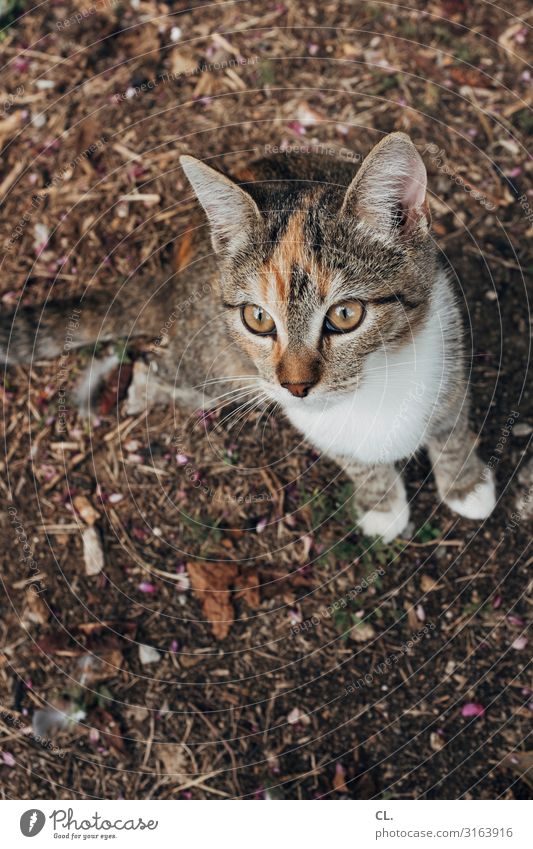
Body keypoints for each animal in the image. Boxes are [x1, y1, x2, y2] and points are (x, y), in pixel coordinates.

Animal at [0, 134, 494, 544]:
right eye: (257, 318)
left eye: (346, 314)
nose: (295, 386)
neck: (375, 380)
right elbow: (354, 460)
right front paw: (382, 504)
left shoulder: (448, 343)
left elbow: (451, 425)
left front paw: (465, 483)